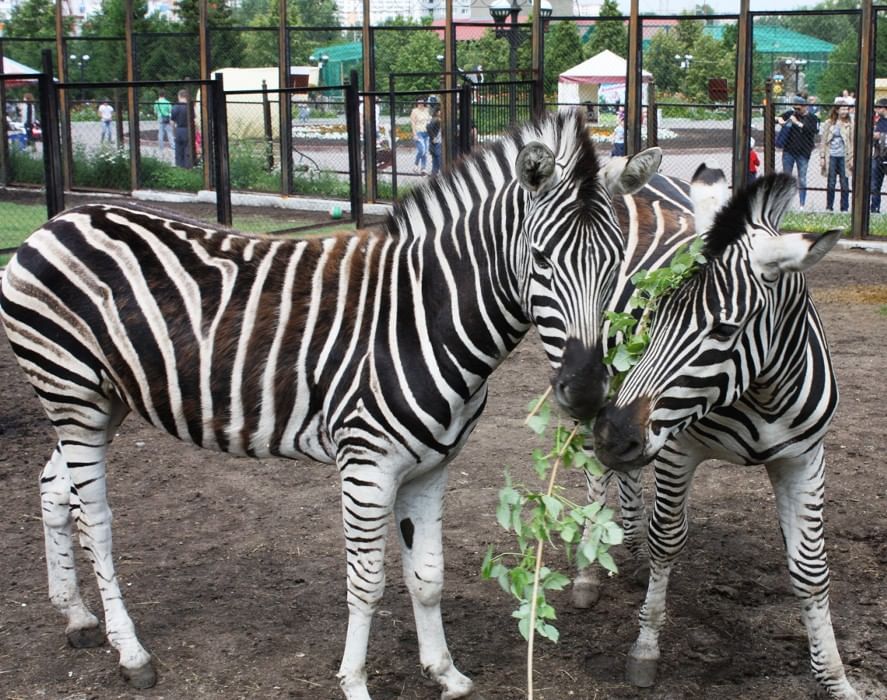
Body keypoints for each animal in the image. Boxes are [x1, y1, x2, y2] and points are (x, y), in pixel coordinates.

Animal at [0, 109, 664, 700]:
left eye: (615, 262)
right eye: (542, 259)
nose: (586, 391)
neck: (423, 315)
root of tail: (60, 217)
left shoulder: (431, 469)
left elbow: (427, 577)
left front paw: (445, 674)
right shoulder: (367, 466)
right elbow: (367, 583)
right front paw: (355, 682)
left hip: (101, 401)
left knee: (54, 490)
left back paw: (78, 619)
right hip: (73, 395)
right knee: (95, 518)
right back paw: (131, 653)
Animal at [588, 171, 860, 700]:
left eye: (724, 328)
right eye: (654, 311)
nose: (614, 434)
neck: (763, 393)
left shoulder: (804, 458)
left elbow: (811, 570)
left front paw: (836, 678)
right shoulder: (676, 449)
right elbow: (668, 540)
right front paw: (645, 648)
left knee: (626, 478)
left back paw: (629, 546)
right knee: (594, 476)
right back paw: (584, 575)